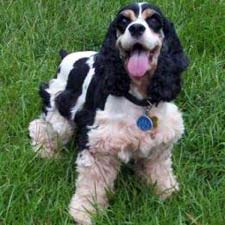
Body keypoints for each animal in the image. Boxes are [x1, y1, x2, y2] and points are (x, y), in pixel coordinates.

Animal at [29, 2, 189, 225]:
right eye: (123, 21)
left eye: (154, 20)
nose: (136, 28)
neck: (138, 98)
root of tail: (66, 56)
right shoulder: (98, 143)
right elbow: (92, 183)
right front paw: (84, 213)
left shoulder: (161, 141)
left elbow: (160, 168)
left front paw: (166, 192)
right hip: (59, 112)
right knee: (40, 126)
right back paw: (46, 152)